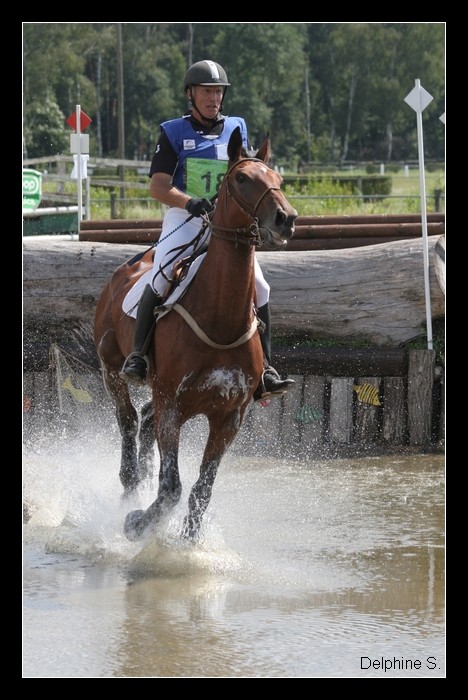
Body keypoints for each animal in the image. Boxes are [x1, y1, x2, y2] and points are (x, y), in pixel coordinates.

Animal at [93, 126, 298, 540]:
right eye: (241, 178)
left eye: (278, 179)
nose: (286, 219)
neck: (219, 318)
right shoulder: (173, 405)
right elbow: (172, 487)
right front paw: (138, 522)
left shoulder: (229, 416)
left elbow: (202, 489)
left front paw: (190, 543)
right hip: (112, 369)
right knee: (129, 420)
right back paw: (131, 484)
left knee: (145, 420)